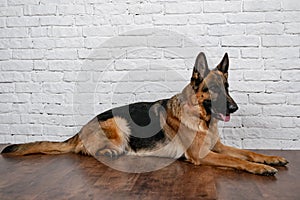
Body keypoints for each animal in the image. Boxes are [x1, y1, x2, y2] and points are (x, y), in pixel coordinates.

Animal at [1, 52, 288, 175]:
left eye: (227, 88)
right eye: (213, 90)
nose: (234, 108)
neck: (201, 118)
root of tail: (79, 131)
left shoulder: (217, 146)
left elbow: (248, 152)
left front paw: (270, 158)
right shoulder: (201, 155)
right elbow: (236, 160)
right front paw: (260, 168)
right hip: (118, 124)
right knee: (90, 152)